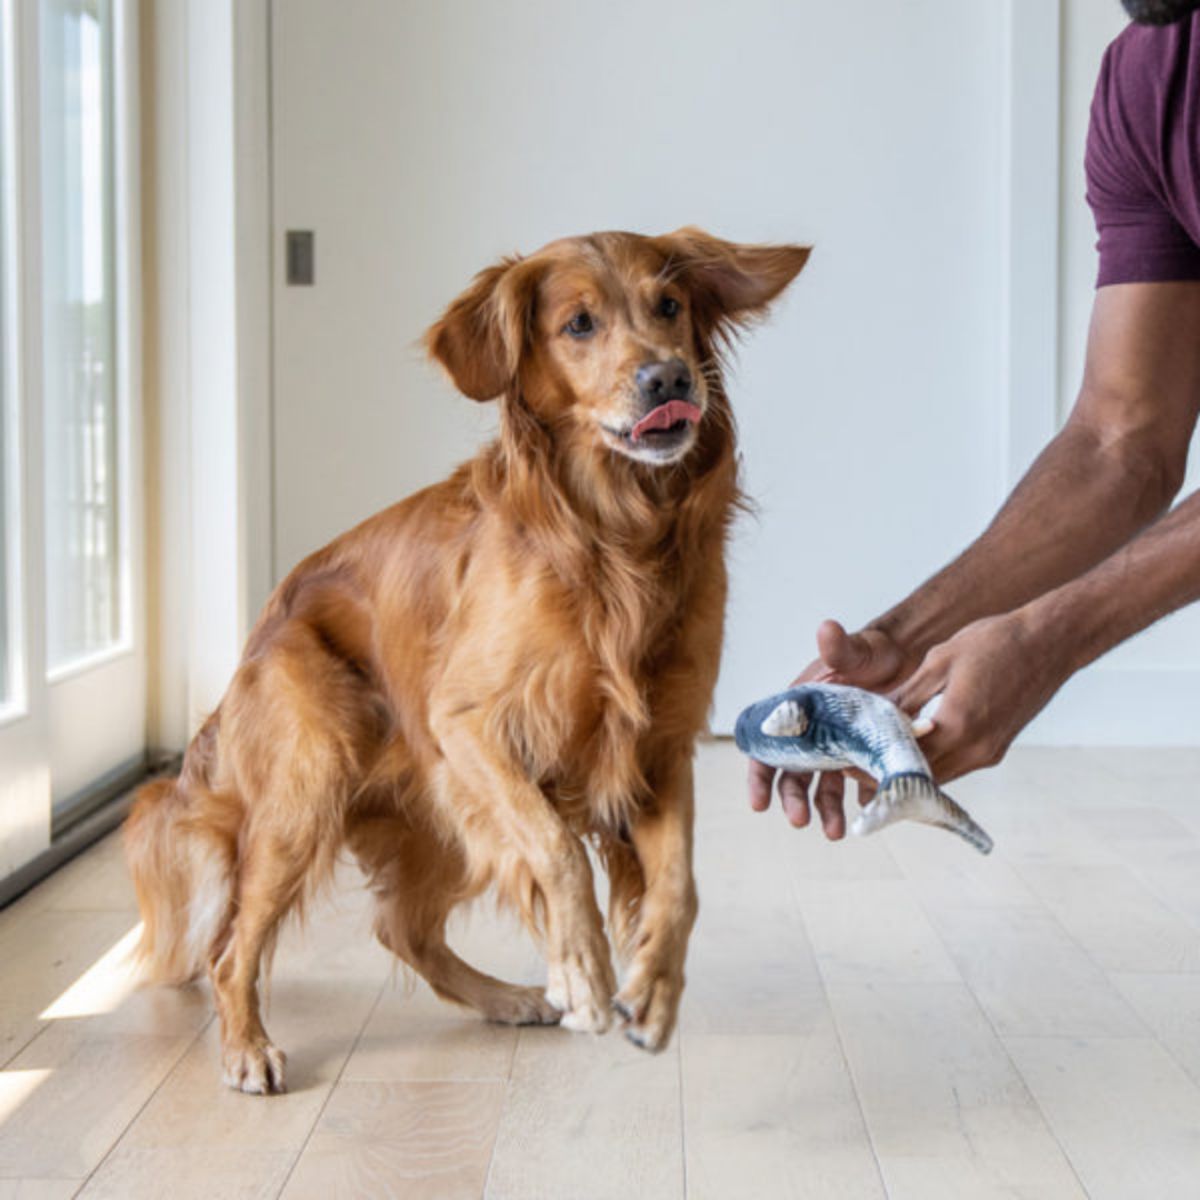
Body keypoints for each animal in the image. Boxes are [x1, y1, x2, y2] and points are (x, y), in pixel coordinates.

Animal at [124, 225, 806, 1089]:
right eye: (578, 324)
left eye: (671, 306)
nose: (669, 378)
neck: (617, 539)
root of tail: (256, 639)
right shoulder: (469, 727)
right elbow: (559, 852)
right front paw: (584, 970)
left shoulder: (657, 742)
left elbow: (679, 884)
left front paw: (652, 985)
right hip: (313, 780)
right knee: (229, 947)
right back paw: (247, 1046)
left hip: (433, 817)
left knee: (402, 930)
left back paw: (505, 998)